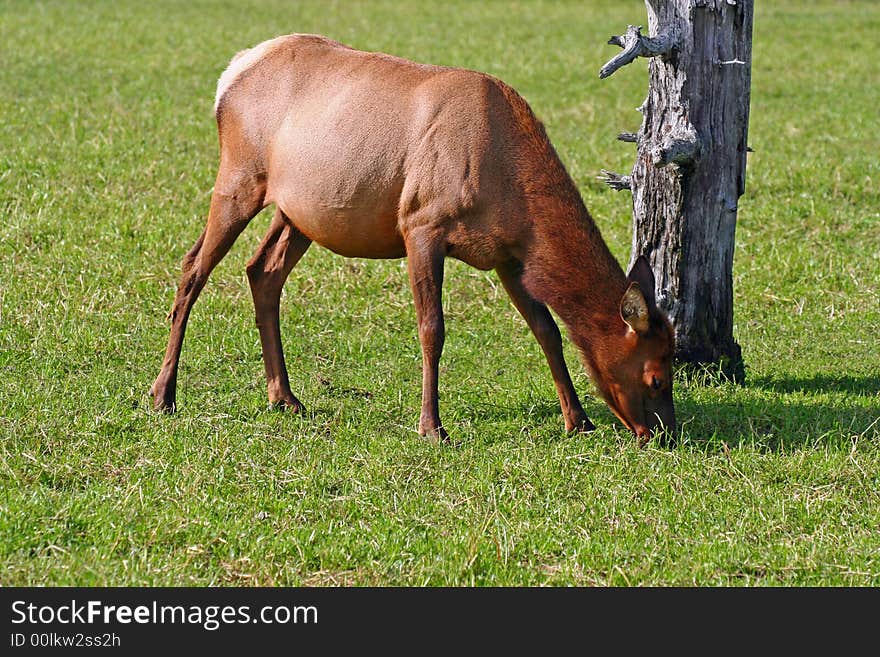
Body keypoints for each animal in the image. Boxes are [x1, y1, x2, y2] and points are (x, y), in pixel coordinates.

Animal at [150, 34, 672, 446]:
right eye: (655, 377)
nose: (661, 433)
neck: (509, 186)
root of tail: (230, 74)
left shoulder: (507, 254)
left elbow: (546, 329)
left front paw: (577, 420)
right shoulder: (422, 225)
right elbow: (432, 329)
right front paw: (432, 426)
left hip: (298, 211)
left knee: (262, 271)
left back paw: (284, 395)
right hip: (239, 177)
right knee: (193, 266)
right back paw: (163, 394)